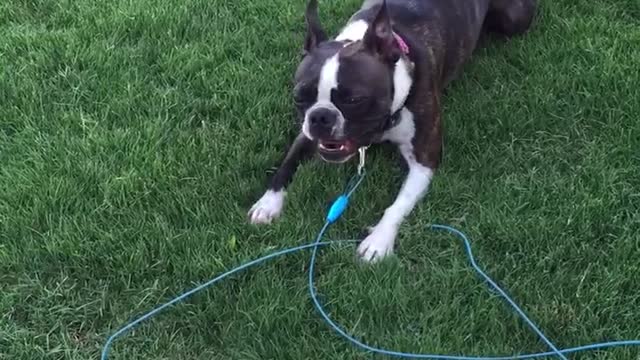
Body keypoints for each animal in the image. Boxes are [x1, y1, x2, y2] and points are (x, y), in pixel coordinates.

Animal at [249, 0, 536, 262]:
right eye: (299, 97)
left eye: (354, 100)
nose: (321, 116)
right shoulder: (306, 134)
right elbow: (287, 164)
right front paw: (268, 203)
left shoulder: (423, 161)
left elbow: (398, 205)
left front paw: (379, 239)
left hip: (514, 19)